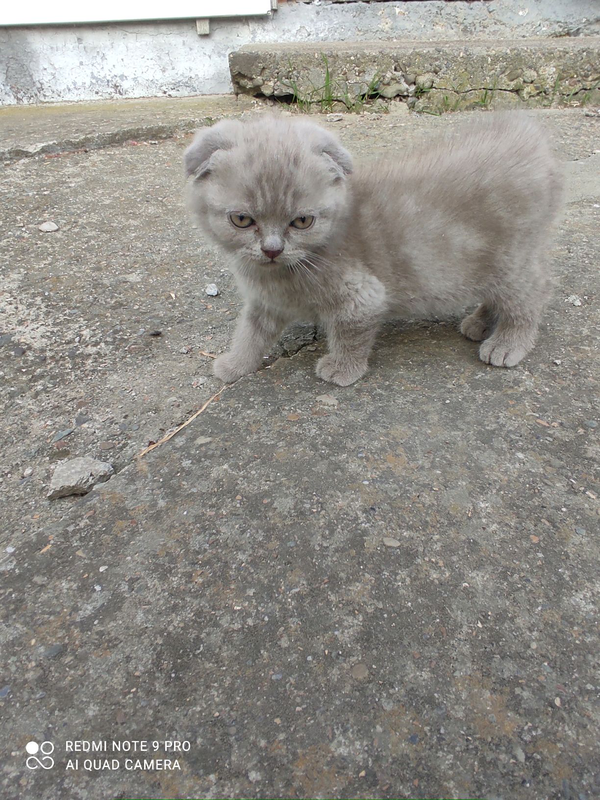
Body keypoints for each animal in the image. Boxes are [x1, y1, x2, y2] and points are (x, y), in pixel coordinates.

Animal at [183, 113, 564, 388]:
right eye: (242, 220)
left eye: (302, 221)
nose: (272, 249)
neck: (277, 276)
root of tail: (532, 141)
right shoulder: (264, 304)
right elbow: (250, 334)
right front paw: (235, 364)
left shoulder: (361, 297)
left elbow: (350, 333)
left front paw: (342, 369)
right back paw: (480, 323)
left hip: (510, 259)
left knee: (532, 294)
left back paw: (507, 343)